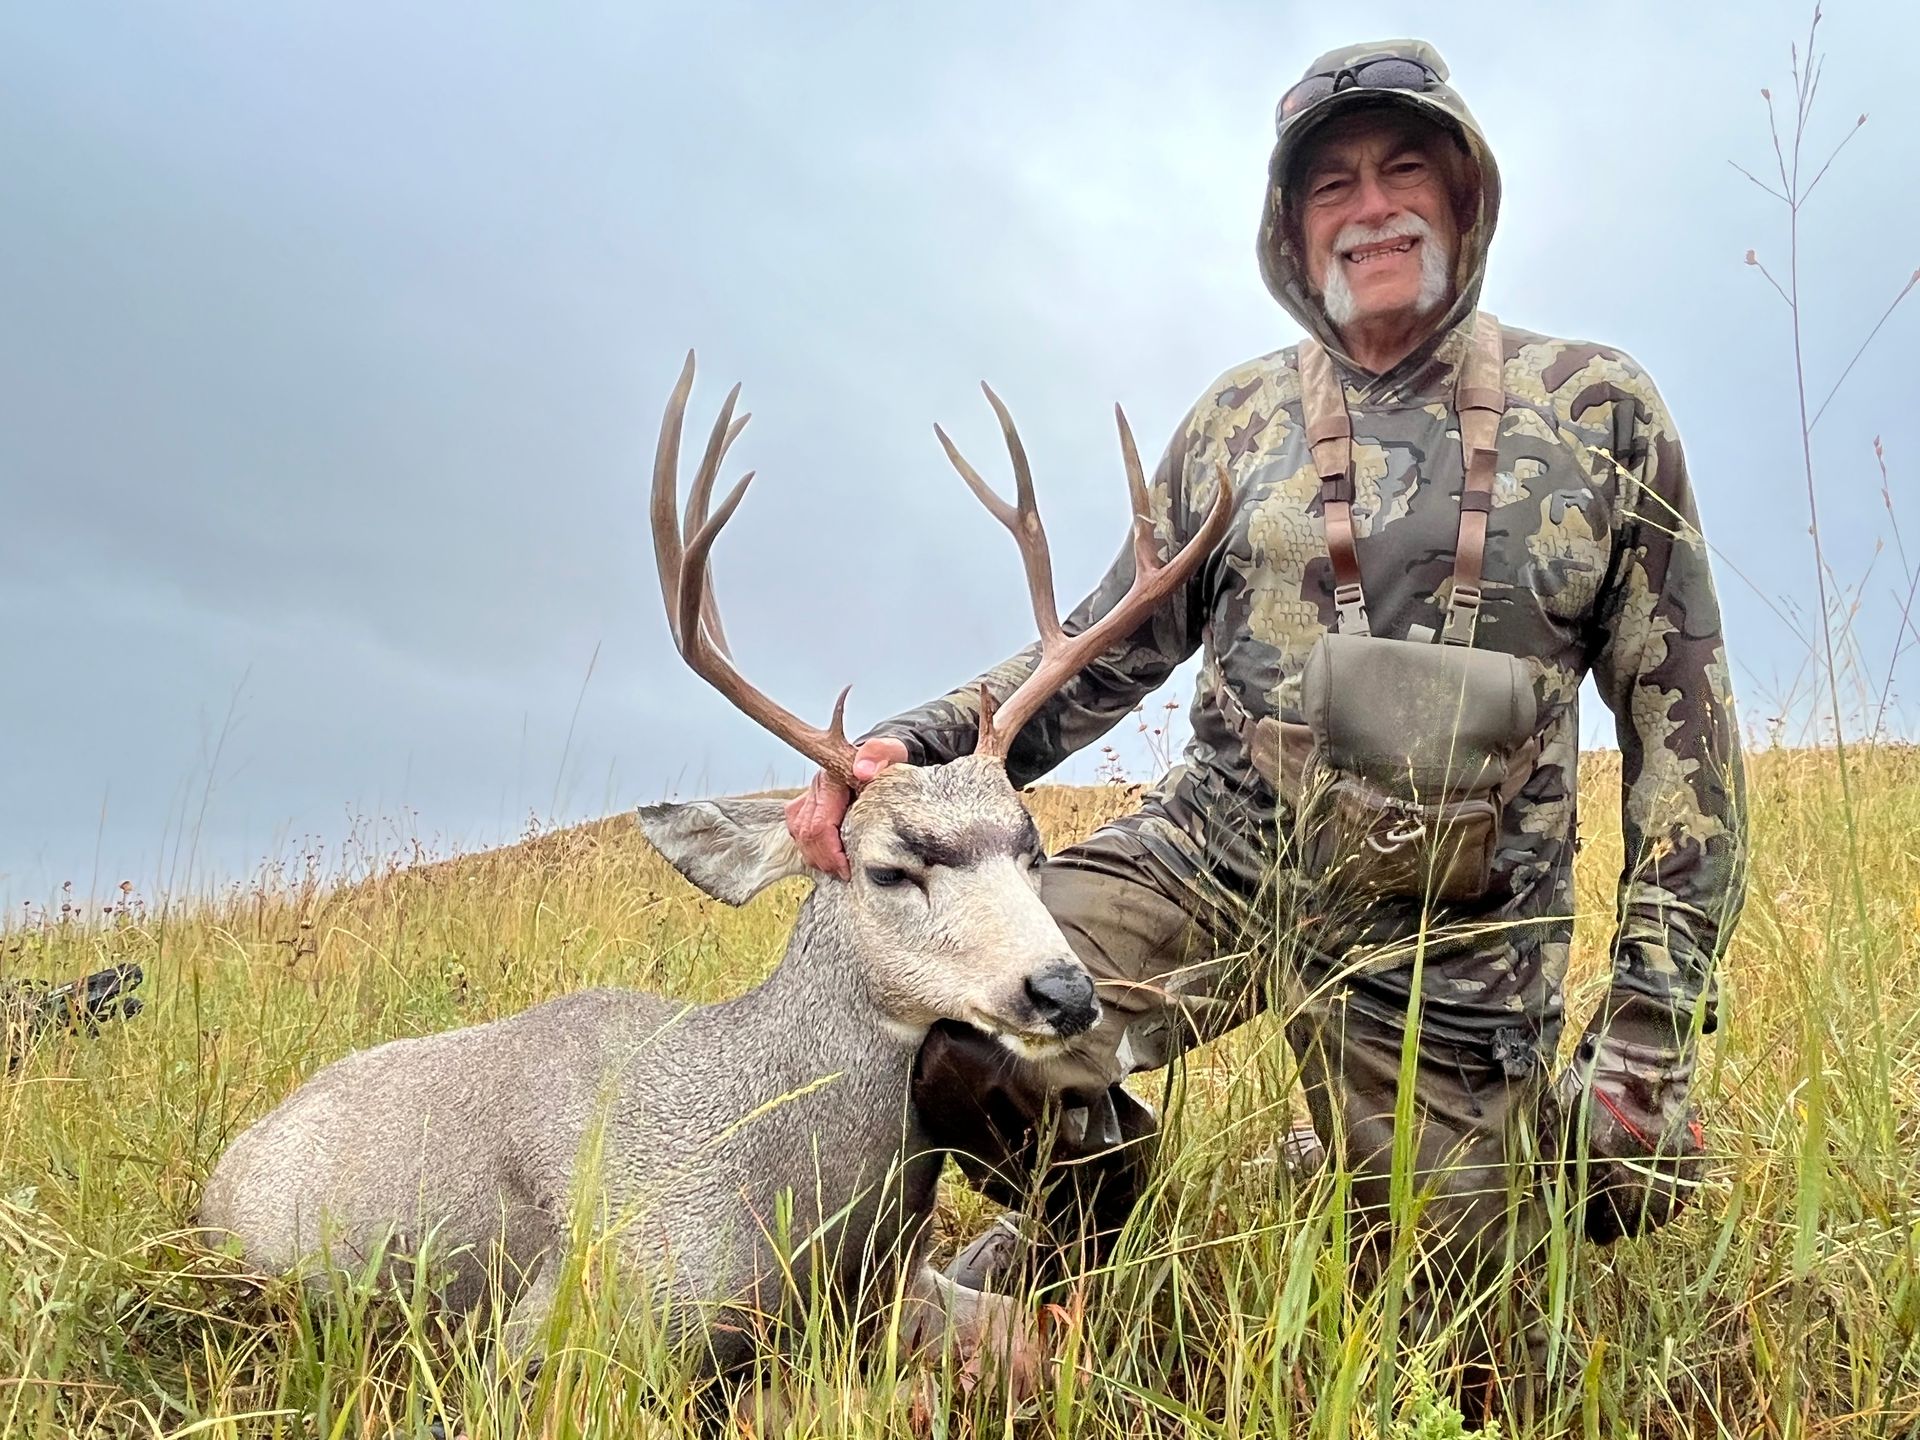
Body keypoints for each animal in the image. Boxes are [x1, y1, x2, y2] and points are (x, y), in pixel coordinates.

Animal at [195, 353, 1233, 1405]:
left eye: (1031, 850)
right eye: (889, 867)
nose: (1064, 991)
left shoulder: (905, 1291)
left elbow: (1037, 1344)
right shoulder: (574, 1328)